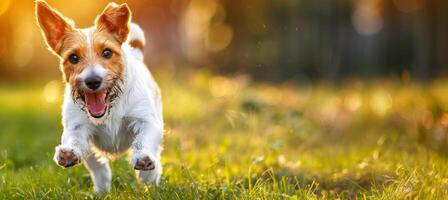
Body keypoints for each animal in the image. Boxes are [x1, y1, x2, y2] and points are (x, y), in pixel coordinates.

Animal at [35, 0, 164, 194]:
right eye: (73, 58)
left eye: (107, 53)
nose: (93, 81)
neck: (112, 107)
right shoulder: (78, 126)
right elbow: (74, 139)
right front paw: (68, 153)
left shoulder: (146, 121)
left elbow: (143, 140)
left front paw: (143, 158)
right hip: (92, 154)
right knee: (100, 170)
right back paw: (102, 191)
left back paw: (149, 182)